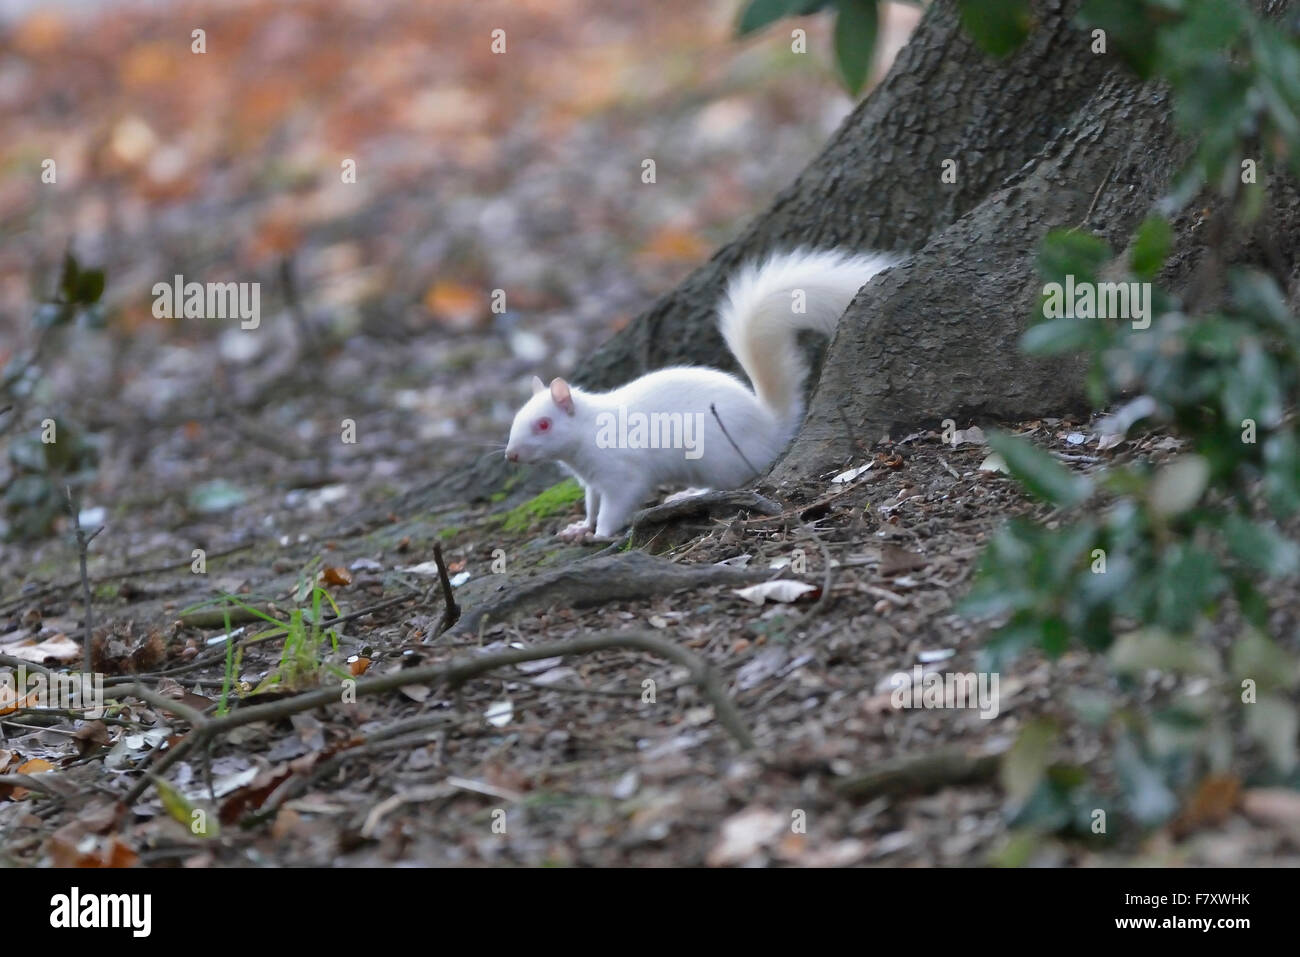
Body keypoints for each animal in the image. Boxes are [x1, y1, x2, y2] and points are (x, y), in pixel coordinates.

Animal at [505, 247, 899, 539]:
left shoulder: (621, 470)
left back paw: (693, 494)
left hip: (717, 458)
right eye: (516, 420)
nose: (510, 455)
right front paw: (579, 527)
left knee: (735, 480)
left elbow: (618, 503)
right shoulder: (591, 481)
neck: (586, 433)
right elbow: (591, 503)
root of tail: (769, 428)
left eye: (543, 424)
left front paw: (600, 534)